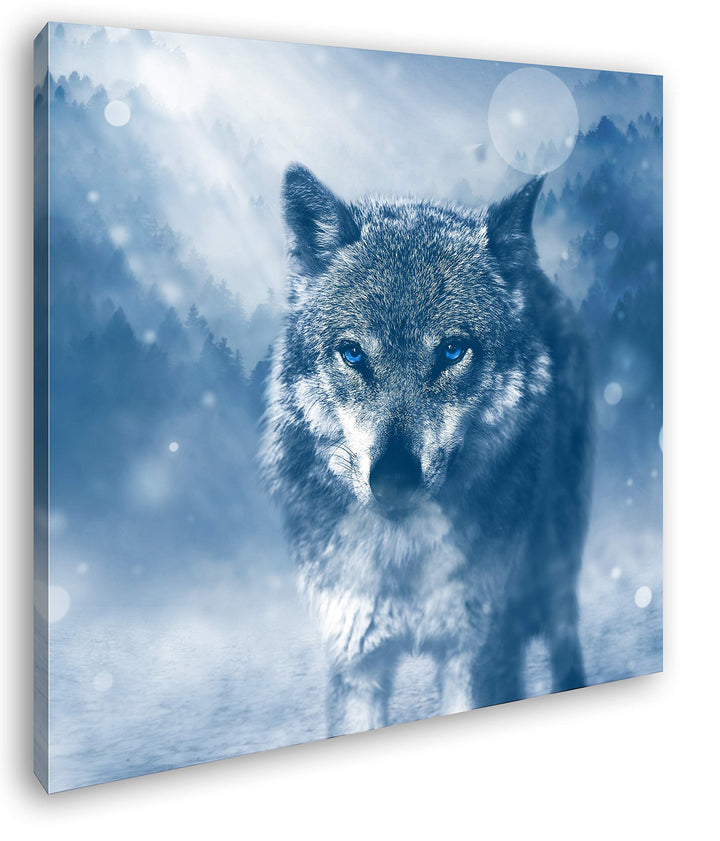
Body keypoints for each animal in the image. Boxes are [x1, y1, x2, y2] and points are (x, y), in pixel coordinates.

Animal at [260, 164, 593, 738]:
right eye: (353, 354)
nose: (394, 480)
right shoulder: (356, 658)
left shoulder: (477, 652)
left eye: (453, 351)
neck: (403, 556)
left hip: (556, 561)